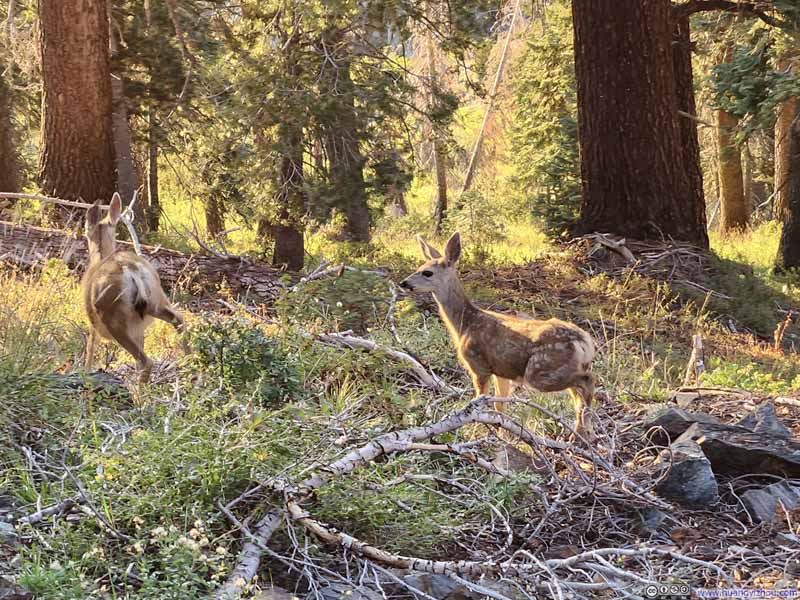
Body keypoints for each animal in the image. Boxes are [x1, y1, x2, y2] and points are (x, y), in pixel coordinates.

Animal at [82, 193, 184, 384]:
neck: (99, 258)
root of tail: (131, 268)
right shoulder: (139, 330)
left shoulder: (94, 326)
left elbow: (90, 352)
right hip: (156, 301)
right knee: (179, 319)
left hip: (113, 318)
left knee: (146, 361)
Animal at [399, 232, 599, 439]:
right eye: (419, 268)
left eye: (427, 272)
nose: (403, 283)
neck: (465, 324)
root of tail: (585, 343)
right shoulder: (501, 372)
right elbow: (499, 405)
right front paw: (501, 434)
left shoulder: (478, 365)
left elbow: (480, 404)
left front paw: (480, 431)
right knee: (579, 393)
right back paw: (581, 434)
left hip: (540, 370)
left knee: (588, 380)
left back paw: (580, 432)